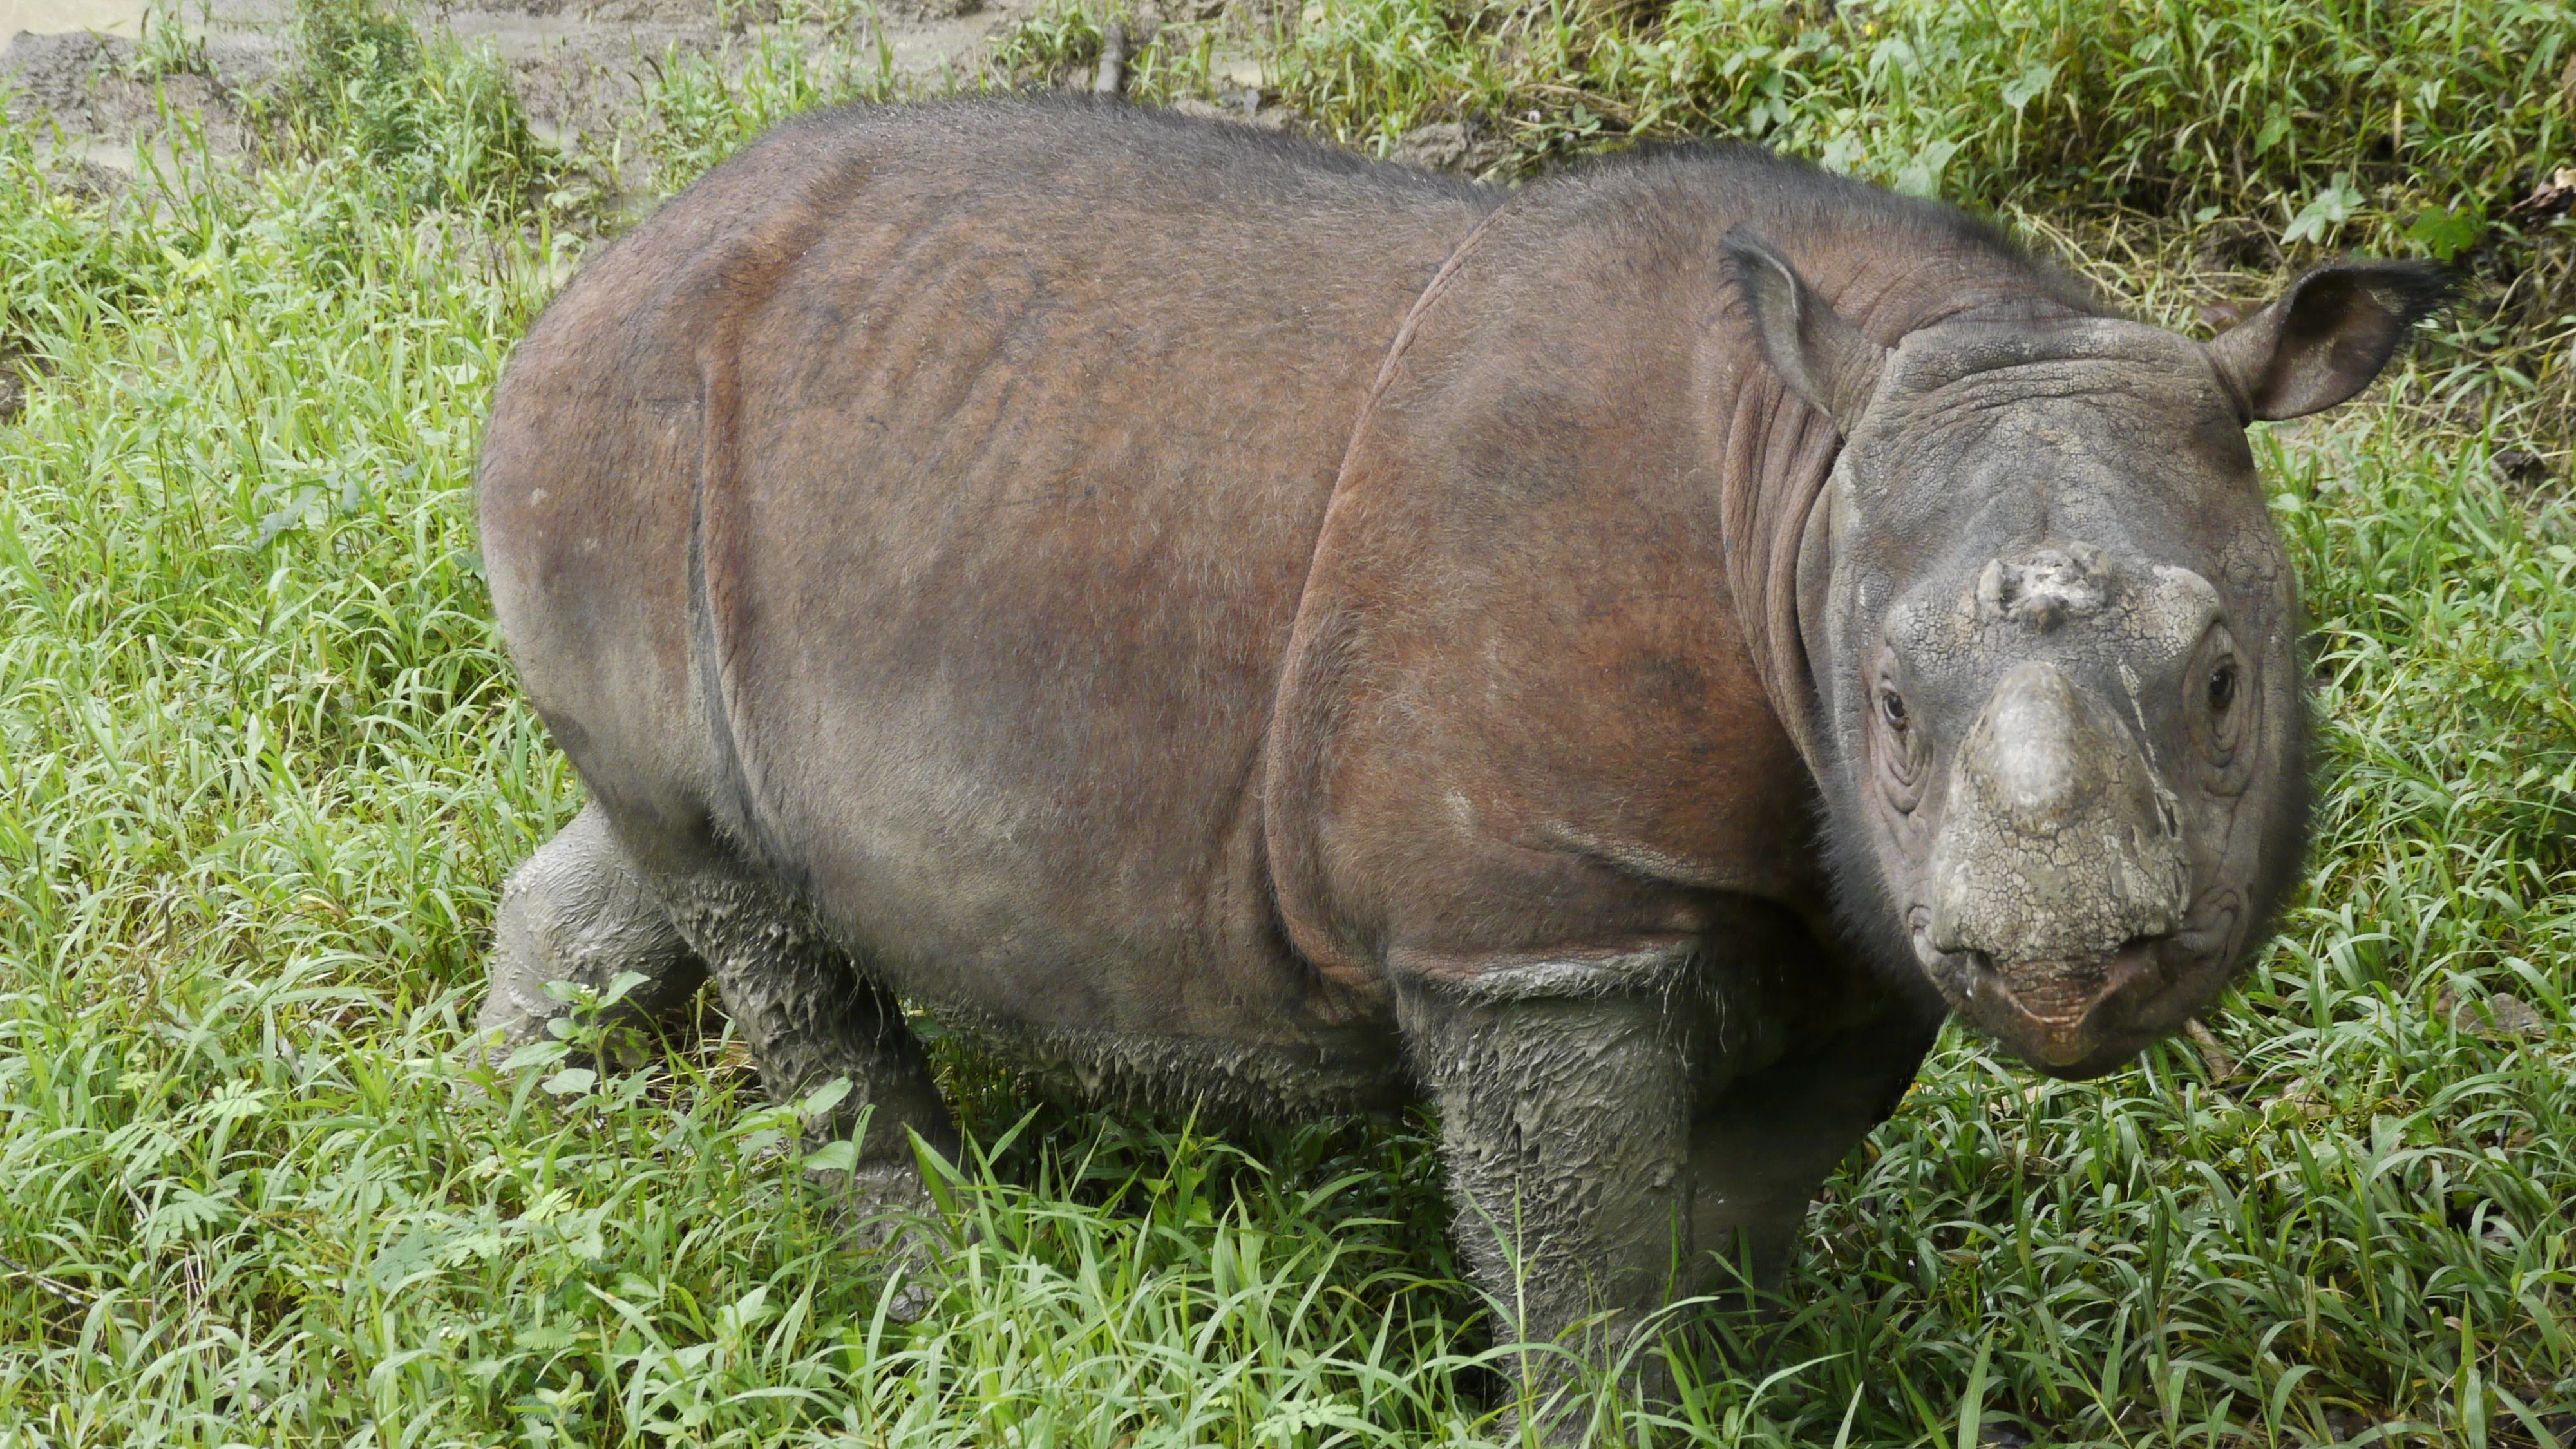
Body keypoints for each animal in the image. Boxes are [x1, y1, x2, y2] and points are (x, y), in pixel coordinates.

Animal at [473, 97, 2446, 1399]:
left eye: (2222, 682)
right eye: (1885, 703)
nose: (2062, 964)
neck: (1812, 483)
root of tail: (585, 277)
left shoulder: (1854, 917)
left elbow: (1749, 1188)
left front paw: (1761, 1371)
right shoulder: (1536, 927)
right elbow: (1574, 1249)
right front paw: (1626, 1413)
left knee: (681, 840)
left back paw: (505, 1114)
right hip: (627, 430)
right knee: (748, 894)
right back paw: (941, 1287)